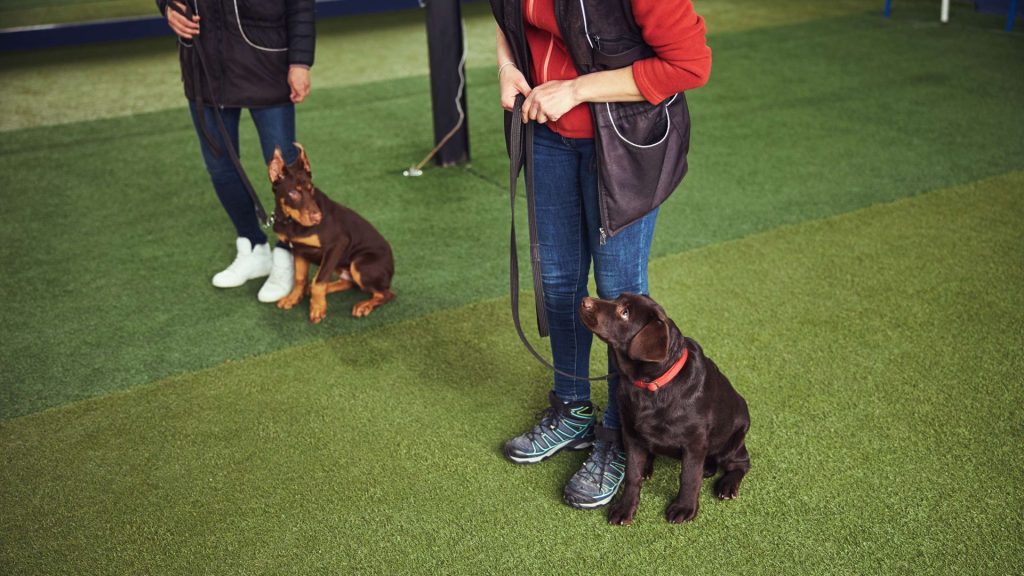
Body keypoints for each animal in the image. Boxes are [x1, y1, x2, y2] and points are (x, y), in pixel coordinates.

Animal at [266, 142, 393, 323]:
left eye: (311, 189)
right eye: (293, 192)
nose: (317, 217)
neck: (290, 221)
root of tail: (392, 270)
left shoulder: (337, 243)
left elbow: (319, 280)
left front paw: (318, 308)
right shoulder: (298, 249)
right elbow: (300, 278)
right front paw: (293, 298)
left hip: (359, 264)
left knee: (386, 293)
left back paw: (364, 305)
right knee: (349, 282)